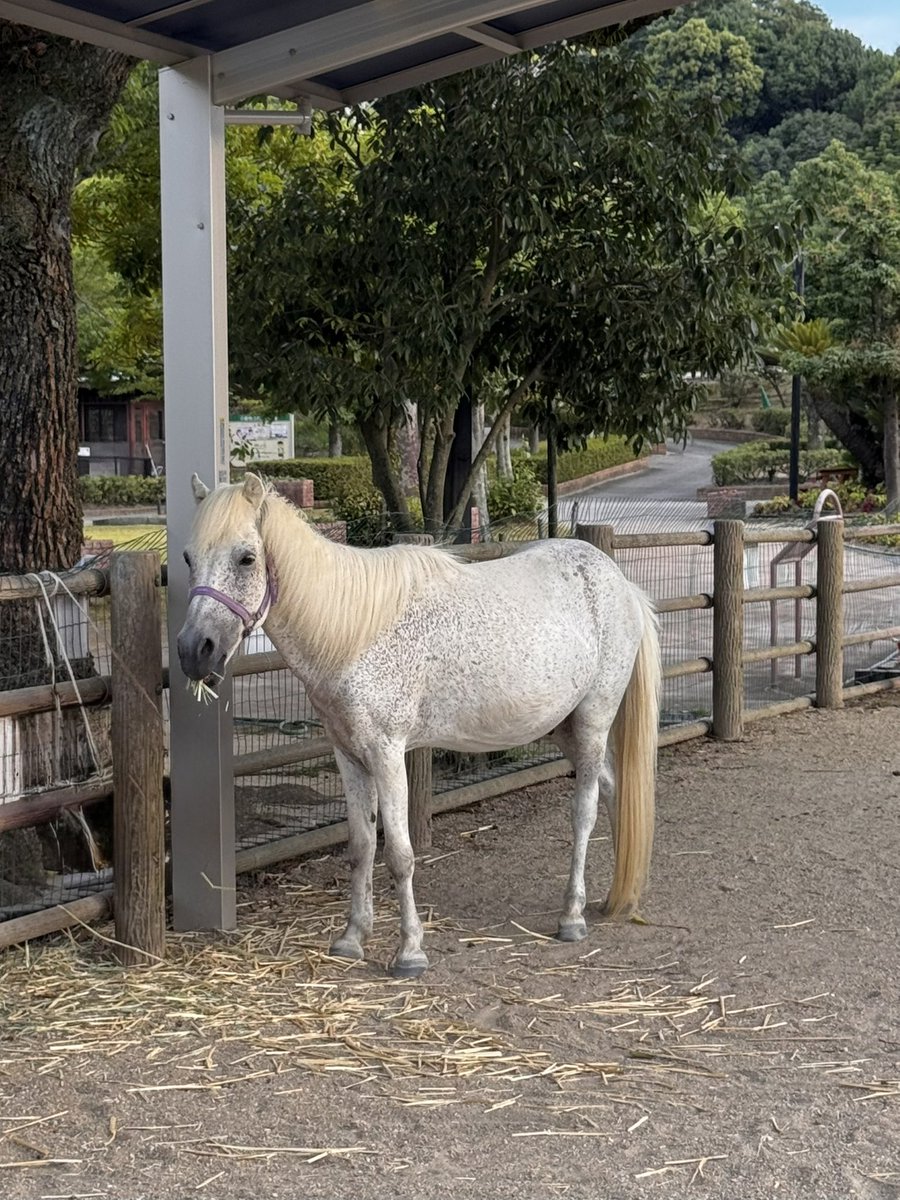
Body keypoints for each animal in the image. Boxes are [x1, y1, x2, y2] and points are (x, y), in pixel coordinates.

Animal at [177, 473, 661, 979]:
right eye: (189, 557)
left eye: (246, 557)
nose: (194, 651)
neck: (352, 632)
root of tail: (621, 585)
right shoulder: (349, 756)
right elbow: (361, 847)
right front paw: (352, 938)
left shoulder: (387, 754)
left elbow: (400, 855)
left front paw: (409, 951)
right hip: (564, 727)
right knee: (613, 789)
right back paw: (614, 899)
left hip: (592, 722)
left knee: (584, 811)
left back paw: (572, 917)